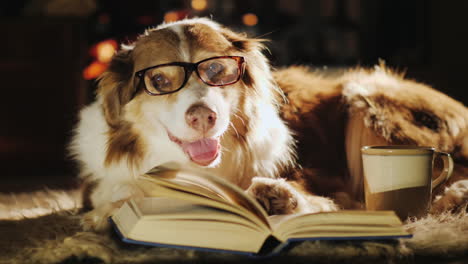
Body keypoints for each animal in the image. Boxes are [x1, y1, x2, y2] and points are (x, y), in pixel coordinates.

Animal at [70, 17, 468, 231]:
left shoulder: (324, 178)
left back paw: (455, 196)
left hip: (364, 92)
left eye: (217, 70)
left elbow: (322, 199)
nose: (202, 116)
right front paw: (109, 213)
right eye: (159, 80)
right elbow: (123, 192)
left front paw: (279, 196)